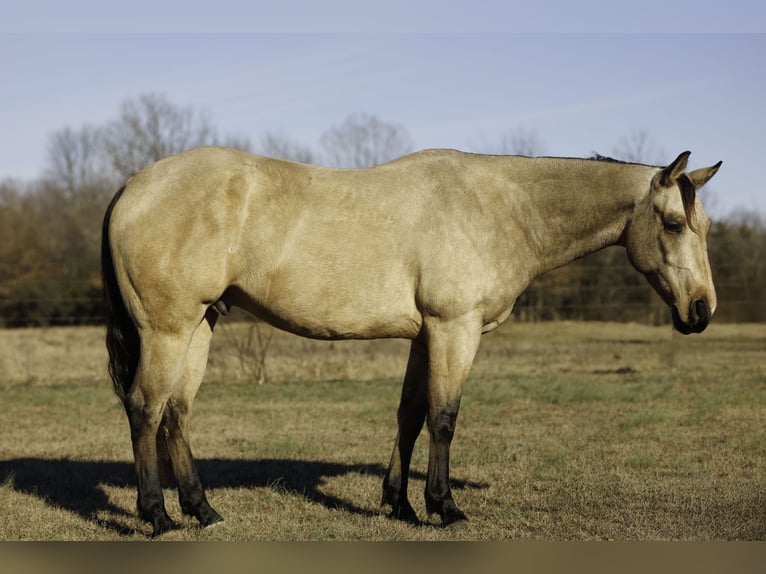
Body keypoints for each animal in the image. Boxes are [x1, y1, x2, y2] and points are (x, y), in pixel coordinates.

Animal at [101, 146, 721, 536]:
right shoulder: (454, 328)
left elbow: (410, 415)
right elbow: (444, 417)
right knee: (145, 409)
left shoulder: (426, 337)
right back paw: (157, 516)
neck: (502, 207)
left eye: (706, 227)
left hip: (199, 327)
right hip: (169, 329)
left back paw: (203, 511)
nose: (701, 310)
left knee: (176, 413)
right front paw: (444, 506)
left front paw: (397, 504)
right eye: (672, 224)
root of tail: (133, 184)